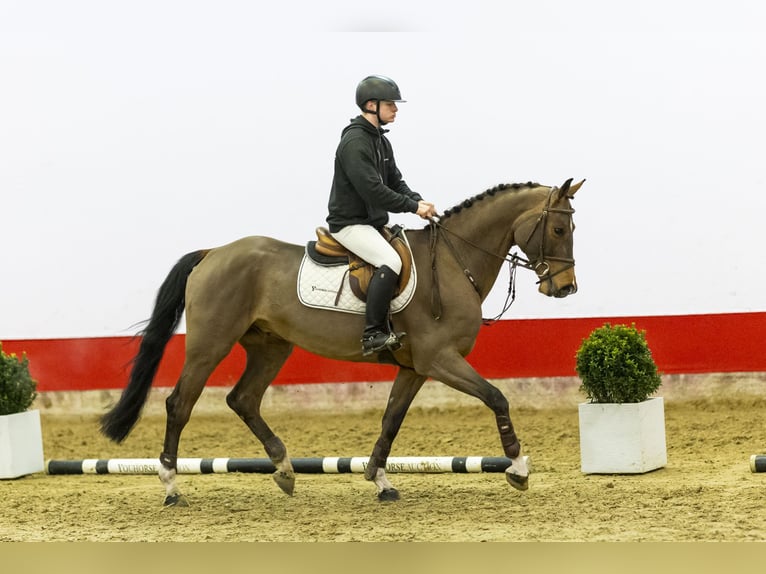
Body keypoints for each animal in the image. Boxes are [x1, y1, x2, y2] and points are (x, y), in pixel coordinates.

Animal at [99, 178, 584, 506]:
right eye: (560, 231)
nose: (565, 288)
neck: (451, 261)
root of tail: (213, 253)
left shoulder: (415, 368)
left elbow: (391, 420)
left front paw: (380, 480)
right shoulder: (440, 360)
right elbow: (497, 397)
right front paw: (517, 468)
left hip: (271, 346)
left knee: (243, 399)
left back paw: (284, 470)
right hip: (210, 345)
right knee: (180, 404)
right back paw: (171, 486)